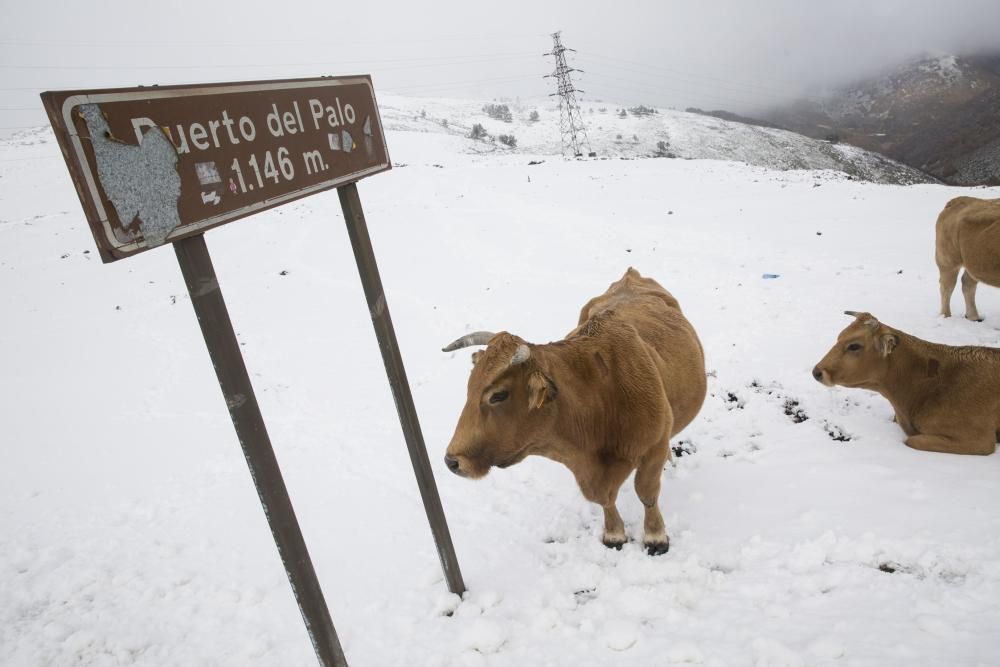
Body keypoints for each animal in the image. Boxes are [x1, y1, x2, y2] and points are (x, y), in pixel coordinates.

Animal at [442, 268, 708, 556]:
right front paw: (614, 533)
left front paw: (655, 536)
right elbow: (605, 501)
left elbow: (647, 493)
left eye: (498, 395)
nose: (452, 461)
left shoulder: (653, 448)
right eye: (470, 387)